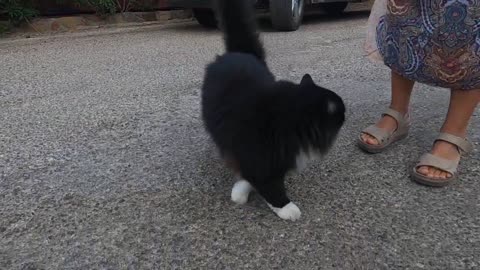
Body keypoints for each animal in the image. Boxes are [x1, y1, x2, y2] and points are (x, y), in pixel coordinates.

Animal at [202, 0, 344, 220]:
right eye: (341, 113)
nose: (346, 114)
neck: (286, 120)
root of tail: (240, 53)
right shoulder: (256, 154)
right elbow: (269, 184)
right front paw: (285, 207)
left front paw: (242, 189)